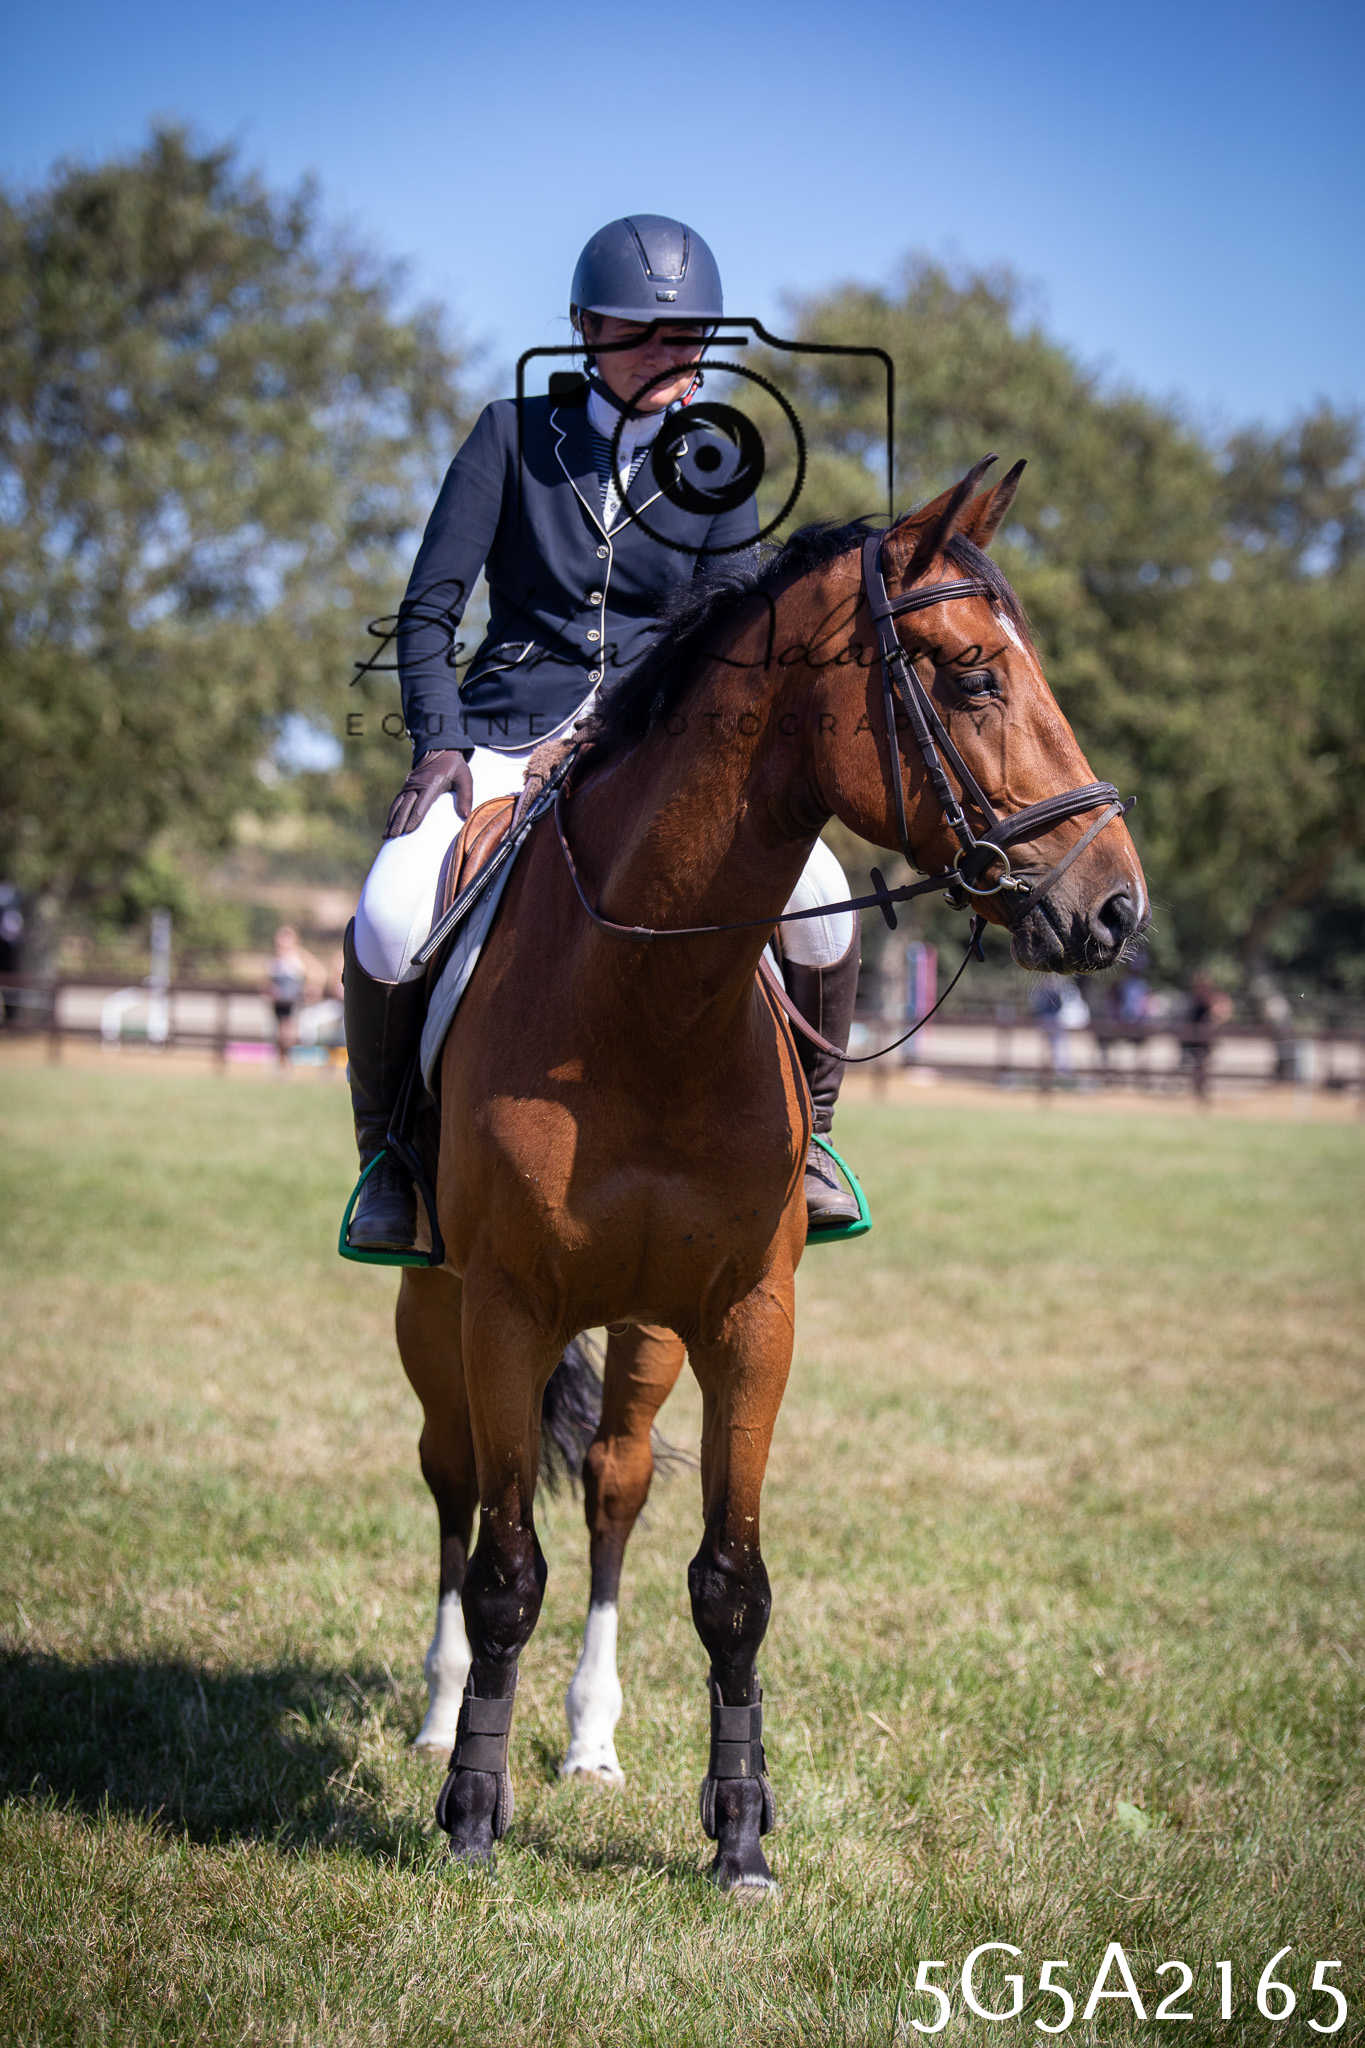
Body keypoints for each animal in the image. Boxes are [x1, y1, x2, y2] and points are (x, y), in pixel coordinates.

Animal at [394, 455, 1149, 1891]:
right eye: (974, 676)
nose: (1116, 908)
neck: (645, 998)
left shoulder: (751, 1317)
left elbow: (730, 1581)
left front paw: (740, 1830)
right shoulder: (503, 1306)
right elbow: (507, 1566)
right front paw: (469, 1809)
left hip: (641, 1323)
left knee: (618, 1479)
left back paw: (590, 1737)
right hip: (434, 1305)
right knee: (456, 1483)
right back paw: (439, 1712)